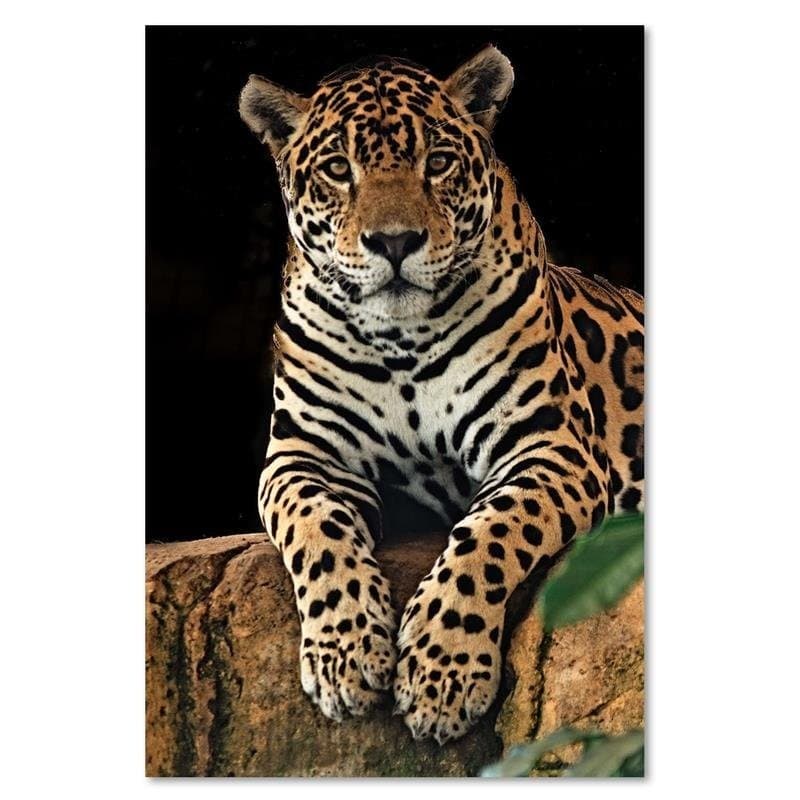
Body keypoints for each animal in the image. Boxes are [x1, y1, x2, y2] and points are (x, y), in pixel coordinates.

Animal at [238, 46, 644, 745]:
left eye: (437, 163)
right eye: (339, 170)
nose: (395, 242)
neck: (400, 339)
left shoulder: (550, 447)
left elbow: (491, 533)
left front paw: (442, 671)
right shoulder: (304, 454)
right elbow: (316, 528)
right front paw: (346, 656)